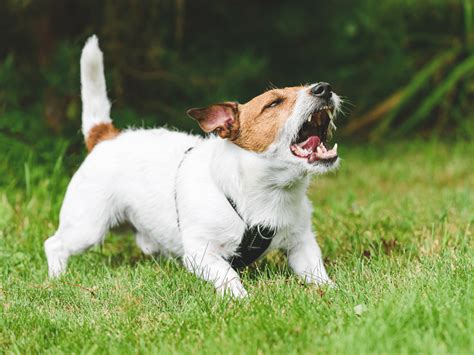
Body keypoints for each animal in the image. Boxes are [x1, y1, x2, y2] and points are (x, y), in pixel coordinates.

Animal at [43, 35, 340, 298]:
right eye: (273, 103)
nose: (324, 87)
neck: (267, 193)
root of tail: (106, 136)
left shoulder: (301, 243)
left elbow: (316, 271)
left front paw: (333, 292)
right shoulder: (201, 253)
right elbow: (227, 272)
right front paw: (238, 296)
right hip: (87, 227)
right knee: (54, 244)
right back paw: (57, 277)